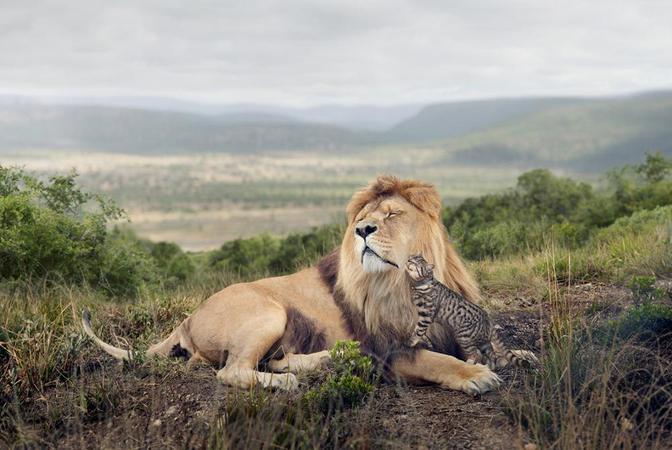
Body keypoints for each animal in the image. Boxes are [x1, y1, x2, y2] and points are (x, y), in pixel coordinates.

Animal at [83, 175, 501, 394]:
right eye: (362, 219)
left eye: (394, 214)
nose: (363, 230)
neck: (401, 281)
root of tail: (186, 319)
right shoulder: (389, 349)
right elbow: (435, 360)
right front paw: (476, 375)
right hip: (269, 312)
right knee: (232, 371)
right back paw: (286, 382)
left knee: (274, 359)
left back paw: (328, 359)